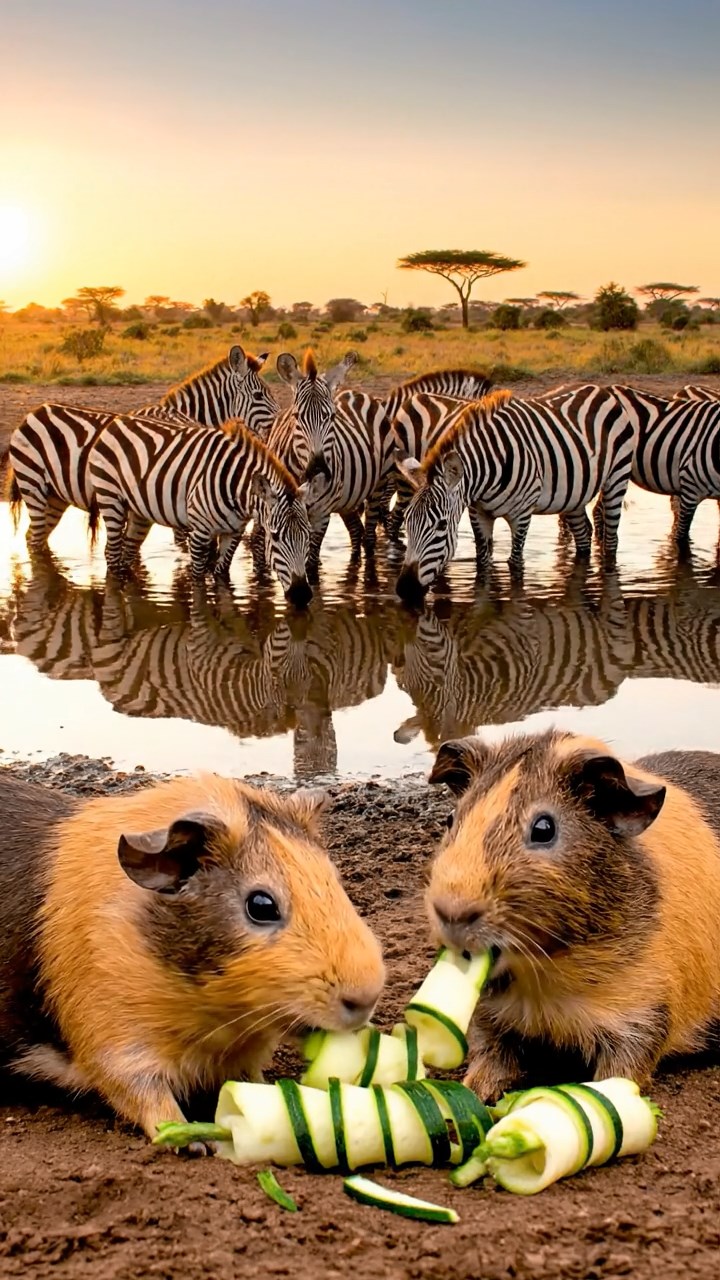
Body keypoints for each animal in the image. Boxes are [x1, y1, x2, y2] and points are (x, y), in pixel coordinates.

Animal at [87, 415, 320, 604]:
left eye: (308, 535)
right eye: (275, 537)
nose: (302, 595)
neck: (236, 490)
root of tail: (117, 421)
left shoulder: (234, 532)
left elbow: (222, 576)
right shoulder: (199, 532)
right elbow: (198, 584)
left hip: (139, 512)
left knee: (127, 551)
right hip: (111, 499)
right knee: (112, 553)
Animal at [394, 386, 637, 603]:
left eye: (442, 525)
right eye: (407, 520)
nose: (405, 588)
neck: (487, 471)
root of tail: (601, 390)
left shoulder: (521, 514)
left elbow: (515, 564)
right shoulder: (479, 514)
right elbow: (482, 563)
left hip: (617, 477)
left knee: (611, 539)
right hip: (574, 496)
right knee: (584, 539)